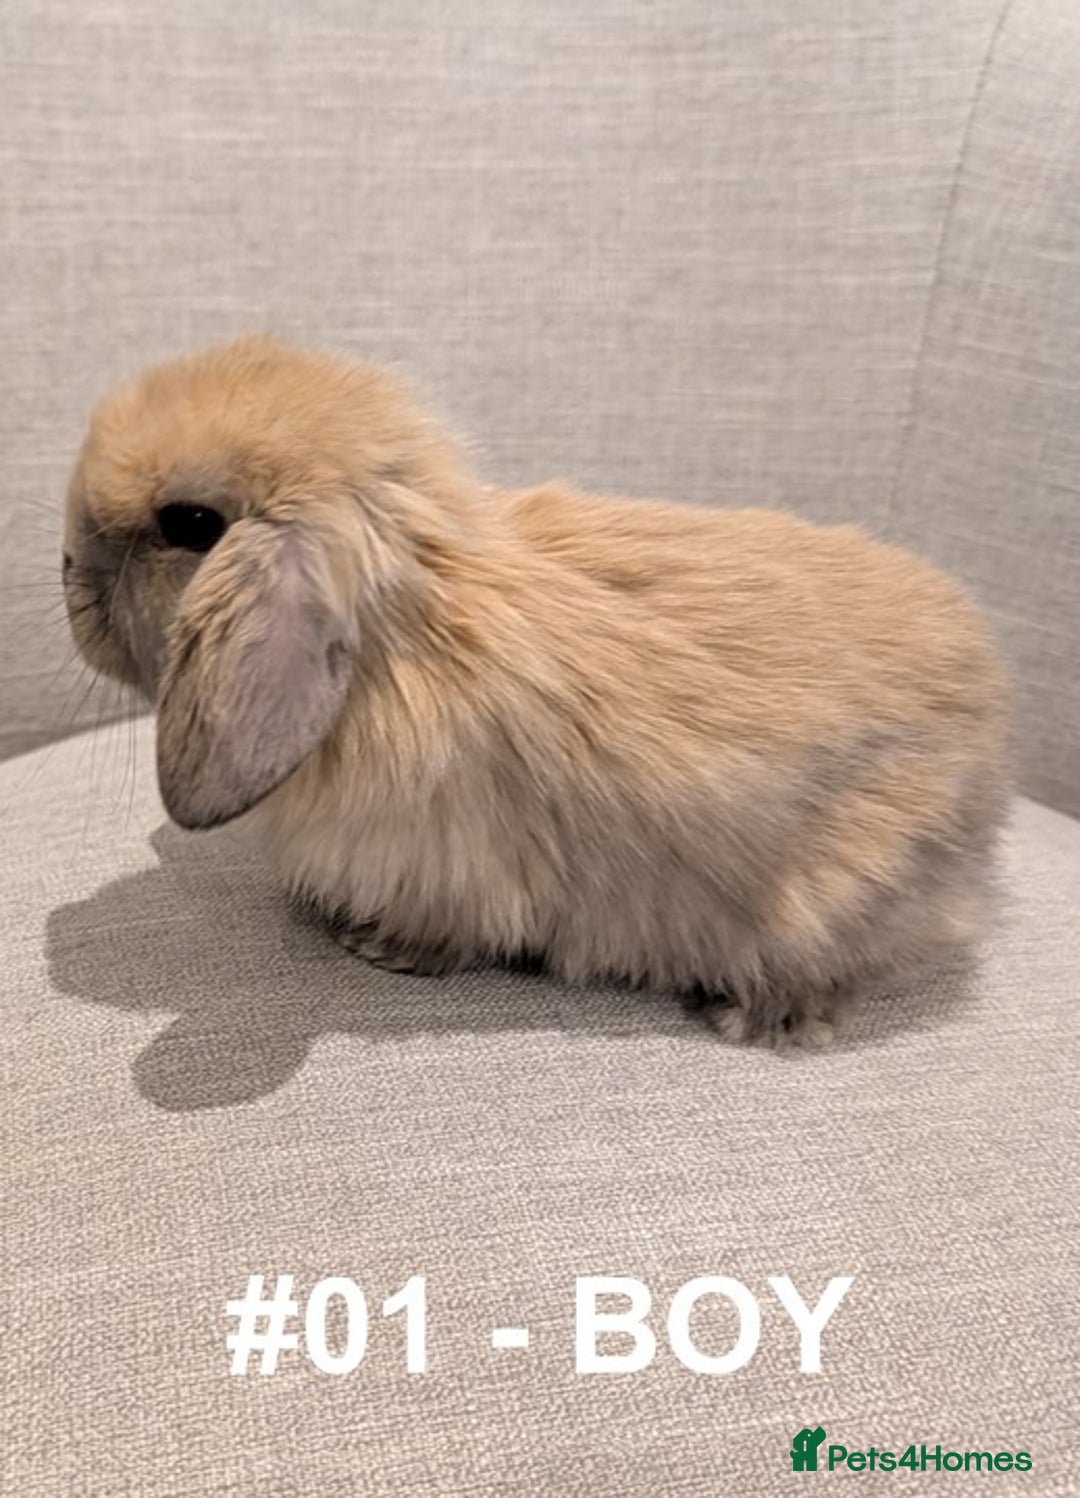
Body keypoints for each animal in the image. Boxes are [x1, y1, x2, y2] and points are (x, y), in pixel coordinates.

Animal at [63, 335, 1011, 1046]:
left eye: (190, 524)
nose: (67, 569)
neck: (403, 639)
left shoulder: (452, 869)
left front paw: (375, 947)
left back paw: (756, 1014)